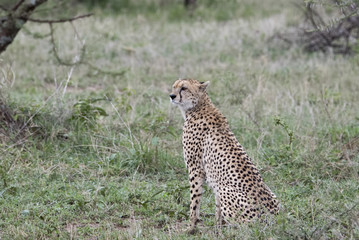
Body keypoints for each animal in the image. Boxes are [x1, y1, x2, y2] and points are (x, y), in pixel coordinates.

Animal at [170, 79, 280, 232]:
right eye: (174, 86)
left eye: (184, 88)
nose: (172, 96)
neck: (199, 106)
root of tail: (272, 219)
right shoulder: (214, 179)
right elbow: (217, 208)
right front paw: (217, 226)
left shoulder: (196, 170)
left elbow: (194, 202)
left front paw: (190, 228)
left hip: (226, 191)